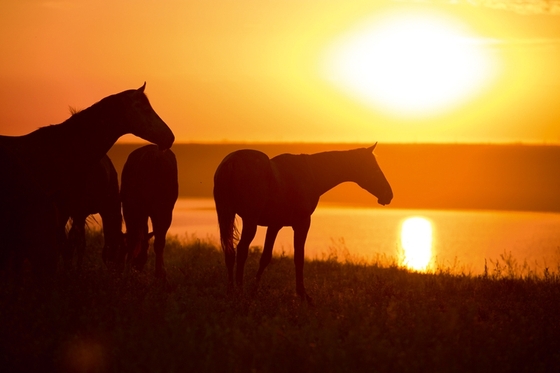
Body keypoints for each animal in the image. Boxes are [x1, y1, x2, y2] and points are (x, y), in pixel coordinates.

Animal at [214, 144, 394, 300]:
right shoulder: (302, 223)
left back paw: (231, 290)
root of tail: (231, 162)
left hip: (227, 214)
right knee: (241, 250)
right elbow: (299, 258)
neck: (312, 174)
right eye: (374, 168)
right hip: (249, 221)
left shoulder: (275, 225)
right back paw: (239, 290)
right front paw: (303, 295)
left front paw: (255, 289)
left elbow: (265, 257)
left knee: (230, 251)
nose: (389, 194)